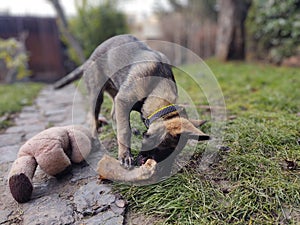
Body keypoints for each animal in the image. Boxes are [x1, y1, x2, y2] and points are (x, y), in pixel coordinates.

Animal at [54, 34, 209, 169]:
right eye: (163, 148)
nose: (162, 170)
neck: (157, 86)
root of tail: (90, 57)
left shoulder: (123, 101)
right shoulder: (123, 100)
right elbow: (124, 130)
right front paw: (124, 155)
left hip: (115, 91)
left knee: (113, 115)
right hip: (97, 95)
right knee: (94, 118)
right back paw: (95, 137)